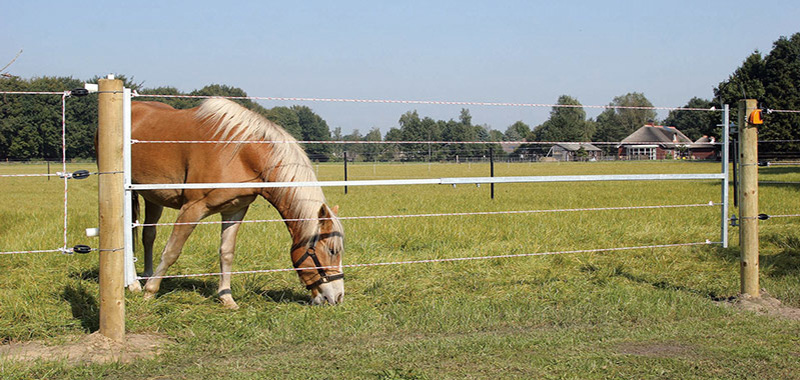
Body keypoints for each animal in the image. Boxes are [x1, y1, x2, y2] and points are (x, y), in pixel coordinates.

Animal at [130, 98, 346, 308]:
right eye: (332, 250)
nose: (337, 297)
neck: (240, 152)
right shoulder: (192, 208)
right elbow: (172, 251)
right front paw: (150, 292)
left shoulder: (235, 210)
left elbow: (227, 253)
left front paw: (227, 298)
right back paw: (135, 284)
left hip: (152, 198)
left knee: (148, 235)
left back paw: (146, 275)